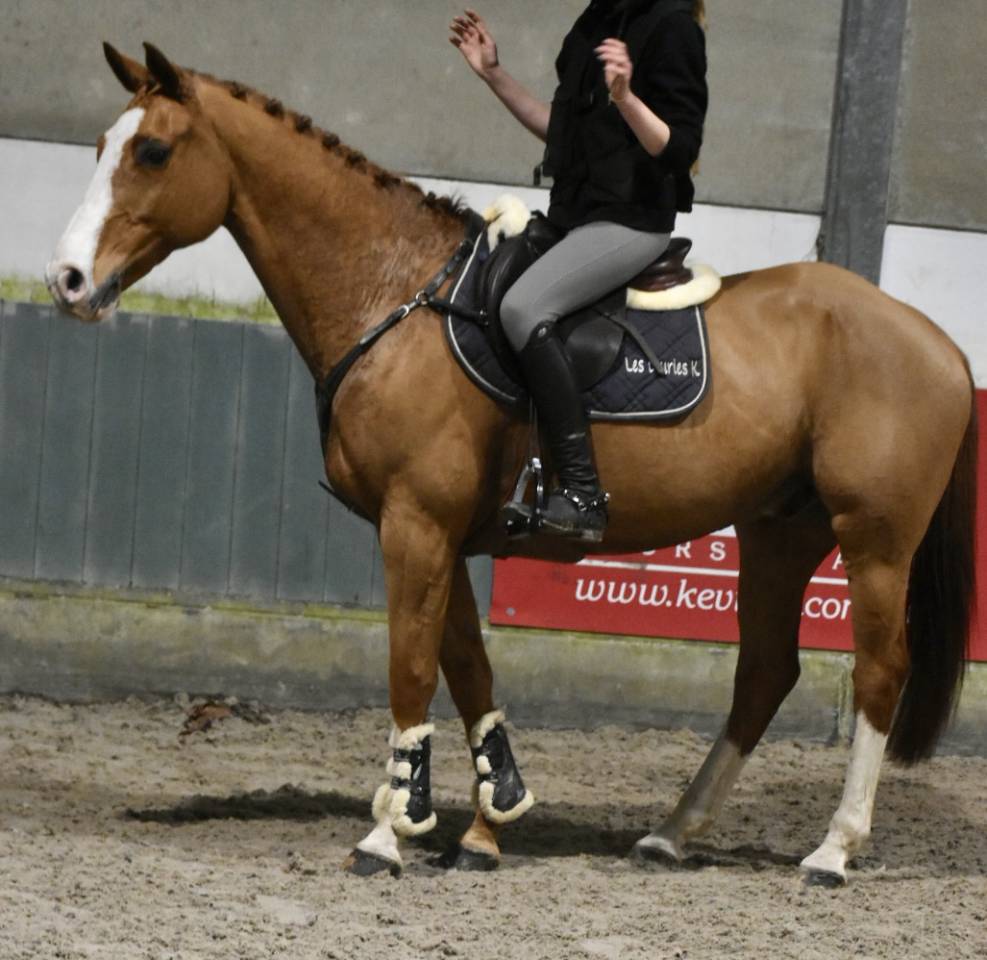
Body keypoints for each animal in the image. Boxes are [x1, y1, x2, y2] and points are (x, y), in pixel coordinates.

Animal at [46, 43, 976, 886]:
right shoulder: (441, 531)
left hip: (873, 539)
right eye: (97, 146)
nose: (67, 280)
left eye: (152, 152)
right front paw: (487, 822)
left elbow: (412, 668)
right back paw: (671, 833)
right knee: (764, 672)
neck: (394, 295)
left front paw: (390, 833)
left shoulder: (414, 525)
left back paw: (833, 849)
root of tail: (933, 337)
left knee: (878, 672)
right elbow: (467, 668)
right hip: (778, 532)